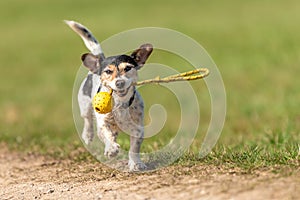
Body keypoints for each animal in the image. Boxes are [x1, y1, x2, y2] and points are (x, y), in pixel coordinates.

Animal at [64, 20, 151, 172]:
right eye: (108, 71)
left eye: (128, 68)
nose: (119, 82)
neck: (120, 103)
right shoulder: (103, 122)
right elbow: (105, 134)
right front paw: (111, 149)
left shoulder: (138, 129)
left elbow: (134, 147)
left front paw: (136, 163)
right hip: (85, 104)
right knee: (88, 120)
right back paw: (88, 135)